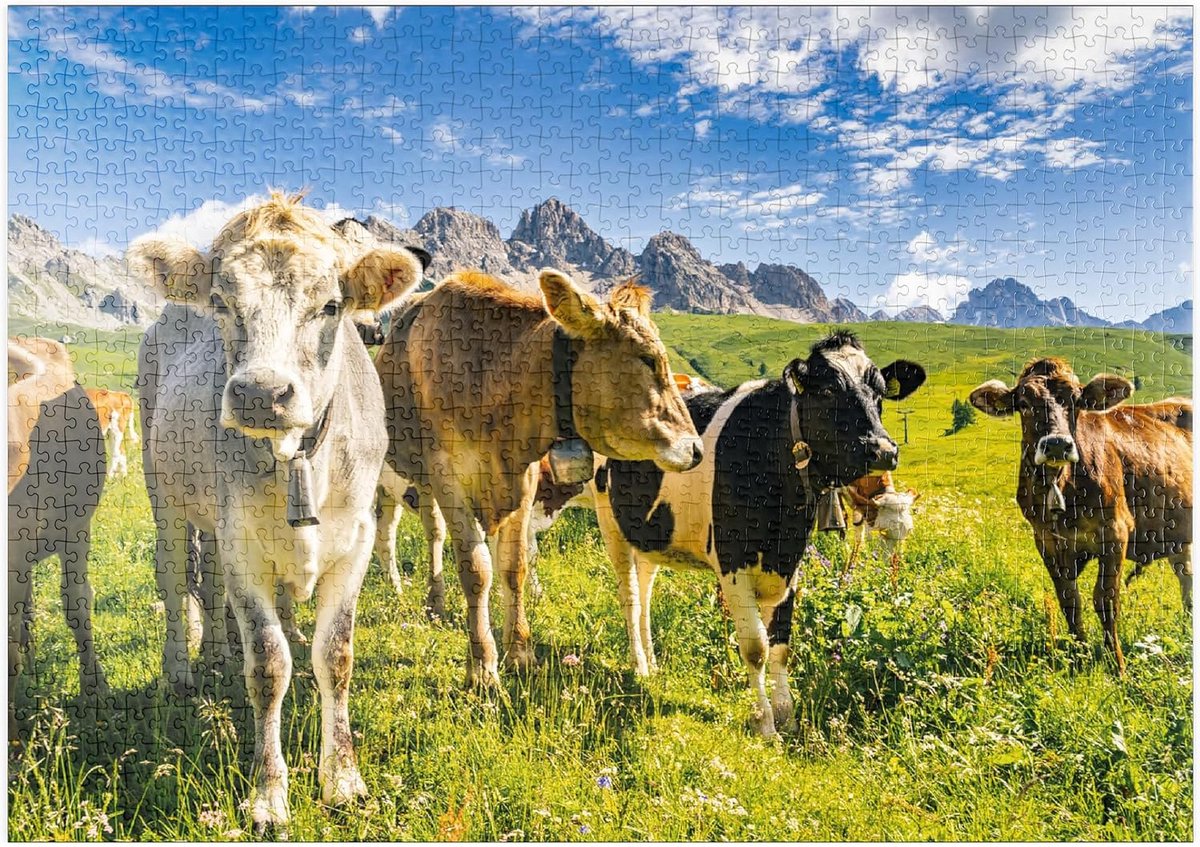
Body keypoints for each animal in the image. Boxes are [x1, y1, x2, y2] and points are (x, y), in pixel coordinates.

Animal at [129, 191, 426, 831]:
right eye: (221, 301)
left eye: (332, 305)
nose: (261, 394)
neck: (297, 459)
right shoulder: (245, 549)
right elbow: (268, 666)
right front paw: (269, 795)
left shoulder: (356, 541)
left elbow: (334, 656)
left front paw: (342, 779)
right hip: (163, 492)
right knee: (175, 579)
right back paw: (181, 670)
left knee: (210, 583)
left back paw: (218, 652)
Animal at [376, 270, 703, 688]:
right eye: (647, 359)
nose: (696, 448)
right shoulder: (446, 474)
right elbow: (476, 568)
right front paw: (483, 666)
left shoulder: (524, 478)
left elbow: (513, 566)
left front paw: (520, 652)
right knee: (403, 534)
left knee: (435, 533)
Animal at [591, 331, 926, 735]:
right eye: (828, 390)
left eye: (879, 393)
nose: (883, 450)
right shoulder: (732, 562)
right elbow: (756, 648)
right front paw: (766, 724)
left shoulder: (789, 564)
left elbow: (781, 646)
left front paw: (788, 716)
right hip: (611, 524)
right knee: (630, 598)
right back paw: (640, 665)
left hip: (650, 532)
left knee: (645, 593)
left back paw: (653, 664)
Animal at [969, 358, 1192, 674]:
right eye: (1023, 403)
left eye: (1076, 400)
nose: (1056, 444)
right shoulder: (1046, 540)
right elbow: (1069, 600)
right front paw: (1079, 656)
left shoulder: (1115, 531)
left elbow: (1106, 599)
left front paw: (1117, 665)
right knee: (1186, 577)